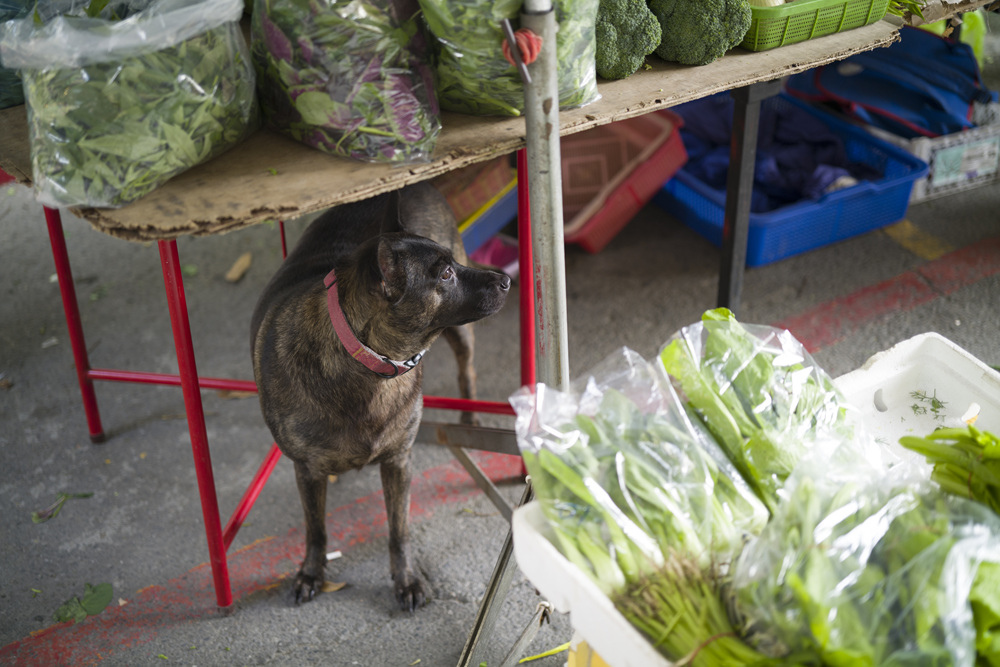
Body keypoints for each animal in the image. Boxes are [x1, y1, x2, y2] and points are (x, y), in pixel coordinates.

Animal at [249, 183, 512, 612]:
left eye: (453, 263)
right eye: (445, 273)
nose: (505, 280)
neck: (369, 362)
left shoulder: (397, 462)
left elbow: (398, 529)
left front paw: (405, 580)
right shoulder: (306, 471)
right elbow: (316, 529)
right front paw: (311, 572)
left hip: (461, 337)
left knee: (466, 370)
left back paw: (470, 419)